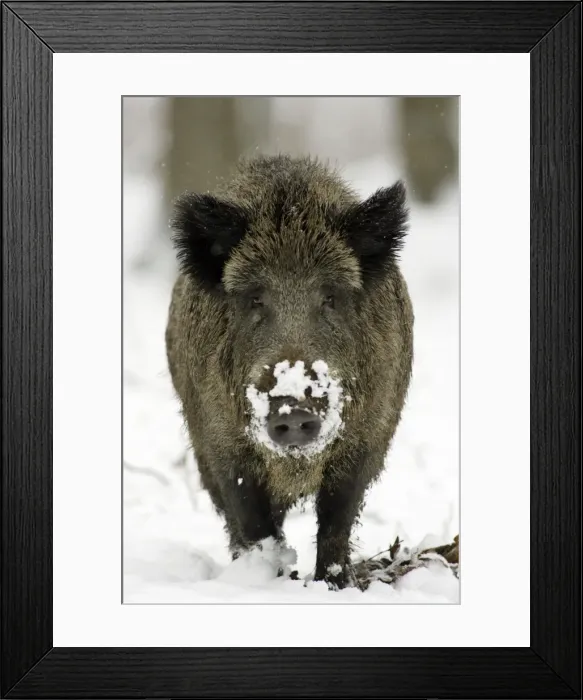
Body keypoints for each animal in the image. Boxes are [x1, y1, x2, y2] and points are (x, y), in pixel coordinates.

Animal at [165, 154, 413, 589]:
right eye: (255, 298)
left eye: (330, 297)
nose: (293, 408)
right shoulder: (221, 442)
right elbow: (252, 520)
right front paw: (269, 581)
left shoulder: (369, 437)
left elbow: (337, 519)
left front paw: (335, 586)